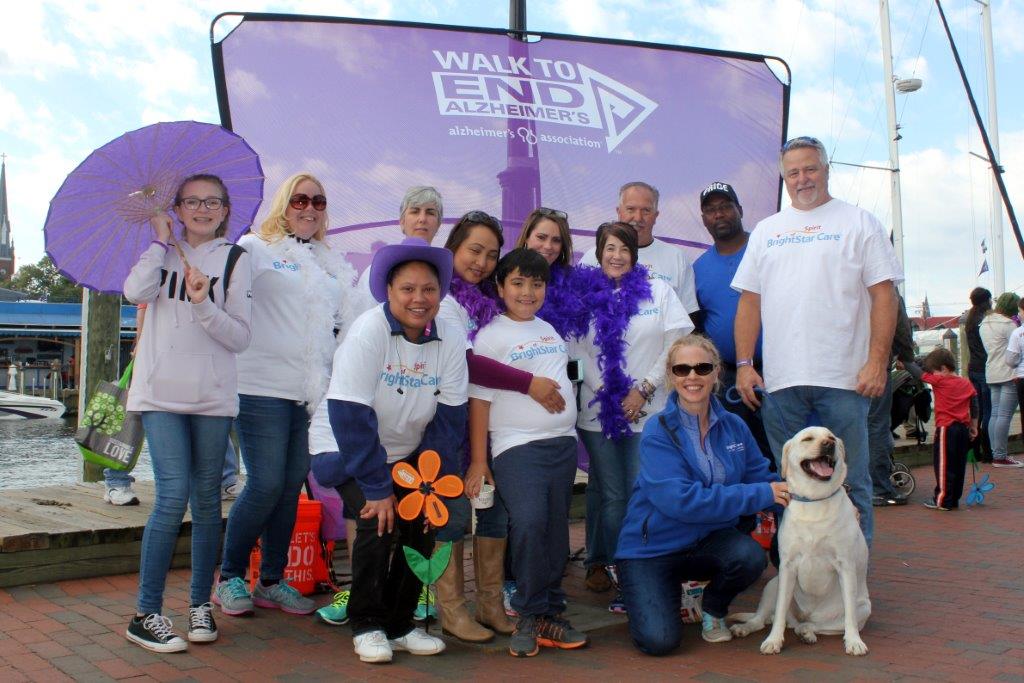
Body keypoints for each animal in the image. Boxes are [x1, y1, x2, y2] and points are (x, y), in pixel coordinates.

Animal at [733, 428, 868, 655]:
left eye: (832, 437)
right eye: (808, 439)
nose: (829, 445)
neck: (815, 500)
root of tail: (802, 617)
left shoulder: (846, 566)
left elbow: (849, 615)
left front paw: (854, 642)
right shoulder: (787, 567)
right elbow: (779, 613)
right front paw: (774, 640)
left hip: (863, 609)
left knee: (817, 625)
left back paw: (807, 633)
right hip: (773, 584)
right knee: (762, 619)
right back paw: (745, 628)